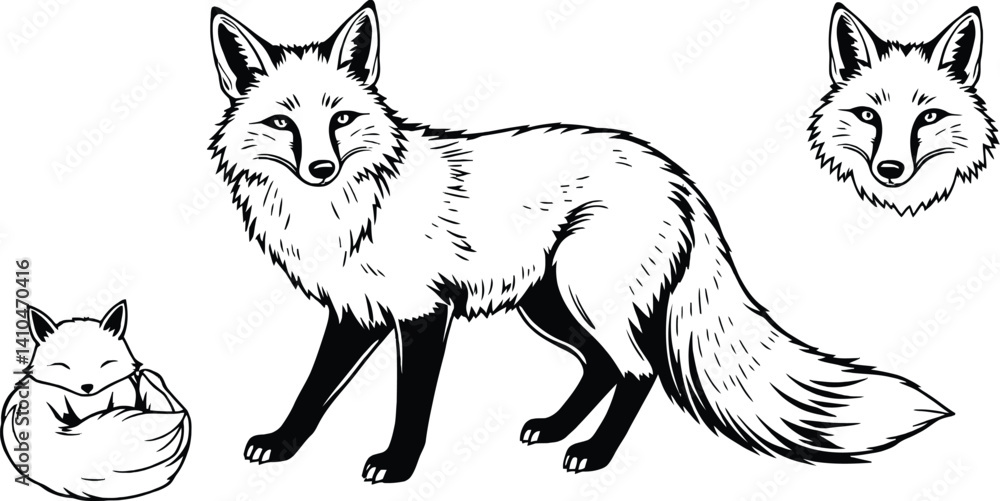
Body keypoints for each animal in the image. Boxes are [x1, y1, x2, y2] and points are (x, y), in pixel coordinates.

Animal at [209, 2, 951, 483]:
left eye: (340, 120)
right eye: (282, 123)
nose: (320, 169)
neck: (346, 211)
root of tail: (675, 174)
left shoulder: (423, 313)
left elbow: (411, 403)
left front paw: (398, 465)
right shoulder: (357, 312)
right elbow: (312, 390)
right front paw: (282, 443)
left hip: (584, 295)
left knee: (638, 371)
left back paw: (593, 455)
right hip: (549, 304)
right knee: (603, 366)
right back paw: (558, 429)